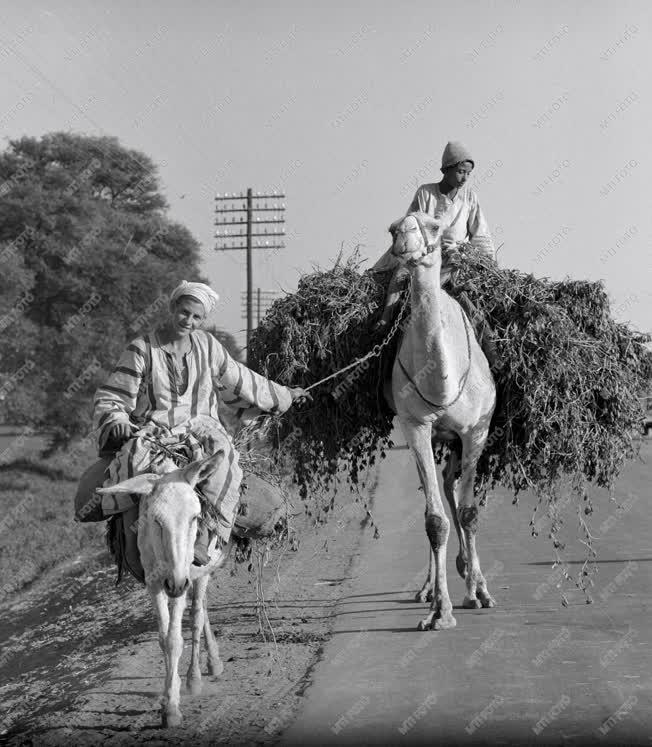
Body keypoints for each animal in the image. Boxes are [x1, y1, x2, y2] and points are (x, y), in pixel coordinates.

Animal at [95, 450, 229, 724]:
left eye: (194, 517)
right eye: (156, 521)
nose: (176, 584)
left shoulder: (182, 578)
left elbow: (176, 639)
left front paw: (173, 706)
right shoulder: (154, 583)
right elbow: (164, 639)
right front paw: (169, 698)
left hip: (200, 573)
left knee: (198, 615)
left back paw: (197, 675)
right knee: (201, 610)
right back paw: (210, 663)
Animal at [384, 212, 496, 632]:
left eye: (433, 226)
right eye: (392, 228)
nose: (402, 236)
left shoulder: (477, 429)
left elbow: (469, 512)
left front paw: (479, 592)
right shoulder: (415, 425)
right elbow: (434, 520)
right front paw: (439, 612)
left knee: (452, 489)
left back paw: (470, 577)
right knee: (437, 491)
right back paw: (431, 588)